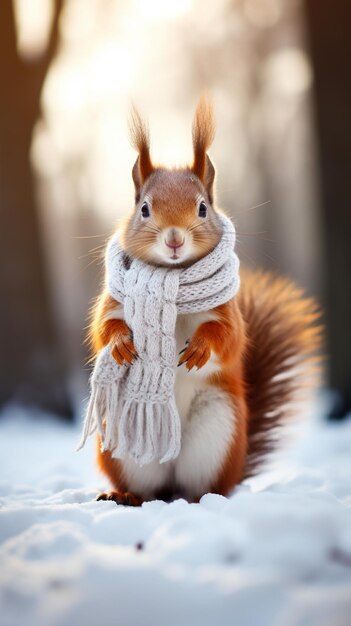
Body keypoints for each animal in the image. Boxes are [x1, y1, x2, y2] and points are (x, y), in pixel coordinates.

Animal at [89, 98, 324, 508]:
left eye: (202, 208)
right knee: (148, 488)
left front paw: (201, 348)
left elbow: (228, 337)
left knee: (201, 484)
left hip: (219, 427)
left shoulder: (227, 311)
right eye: (144, 209)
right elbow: (103, 328)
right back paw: (125, 495)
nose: (174, 239)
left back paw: (202, 498)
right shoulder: (114, 301)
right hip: (125, 447)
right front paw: (120, 343)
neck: (174, 278)